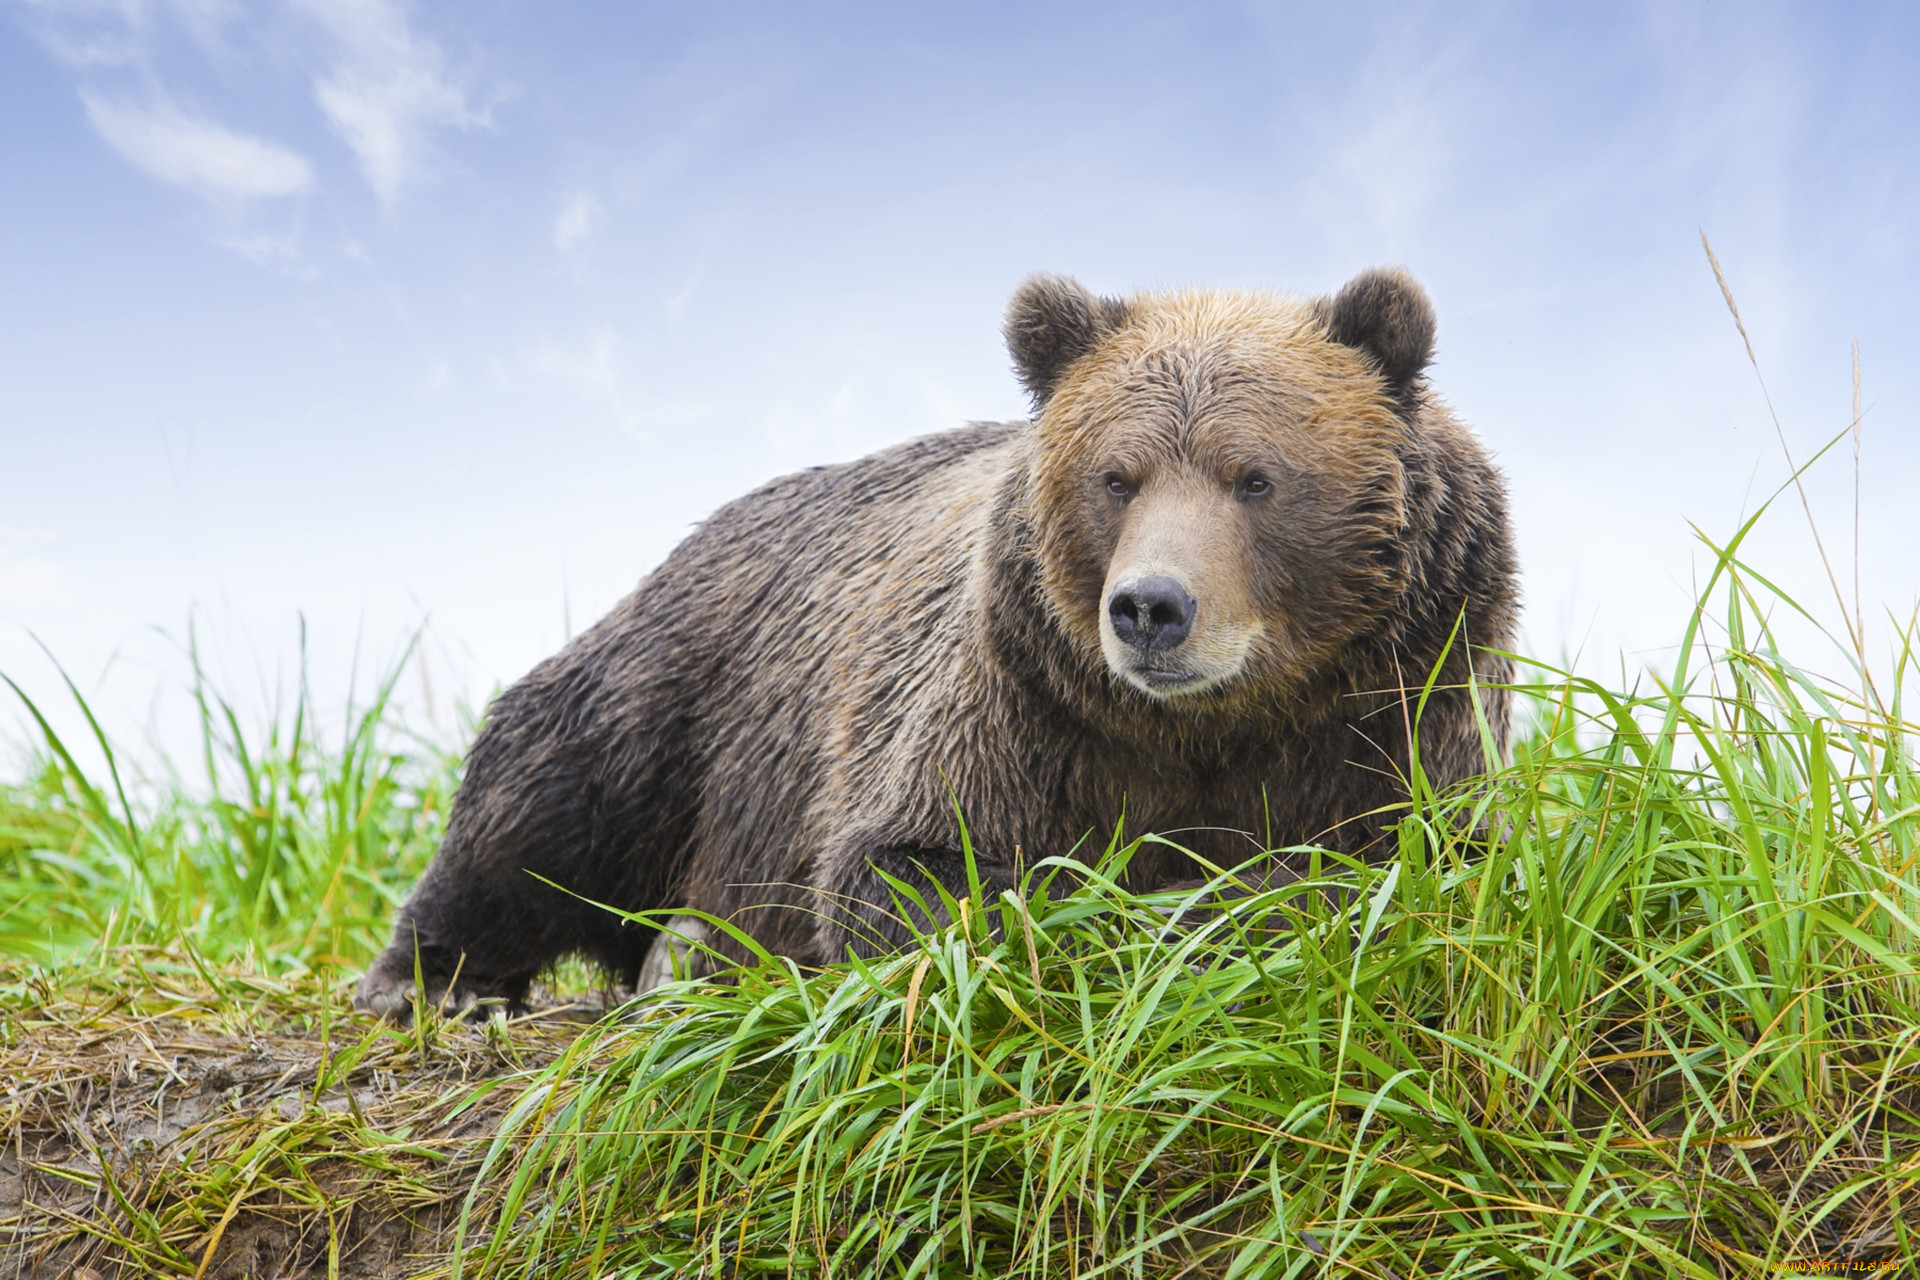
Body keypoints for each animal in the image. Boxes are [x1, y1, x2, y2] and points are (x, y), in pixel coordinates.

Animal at [349, 268, 1512, 1020]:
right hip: (699, 678)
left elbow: (1417, 859)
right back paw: (445, 979)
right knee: (555, 787)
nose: (1150, 607)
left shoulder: (1402, 701)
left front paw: (1235, 893)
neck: (1214, 721)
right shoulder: (1020, 703)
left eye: (1255, 476)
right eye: (1117, 475)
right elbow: (913, 865)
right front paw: (1134, 905)